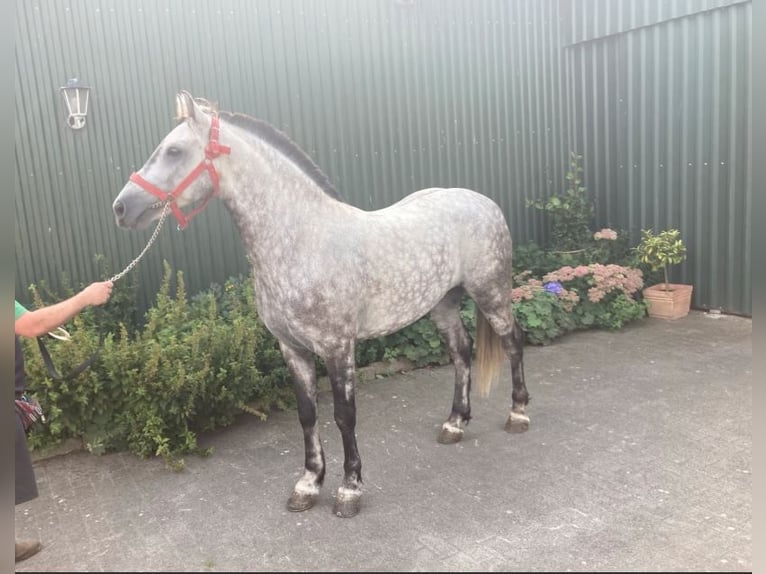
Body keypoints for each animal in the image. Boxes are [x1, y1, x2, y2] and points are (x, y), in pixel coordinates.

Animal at [114, 92, 532, 520]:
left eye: (175, 150)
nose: (121, 207)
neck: (301, 241)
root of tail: (483, 202)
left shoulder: (337, 347)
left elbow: (344, 416)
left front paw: (349, 489)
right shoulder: (292, 348)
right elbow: (307, 414)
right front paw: (309, 483)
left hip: (491, 294)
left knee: (513, 341)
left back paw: (518, 414)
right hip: (444, 305)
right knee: (462, 352)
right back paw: (455, 424)